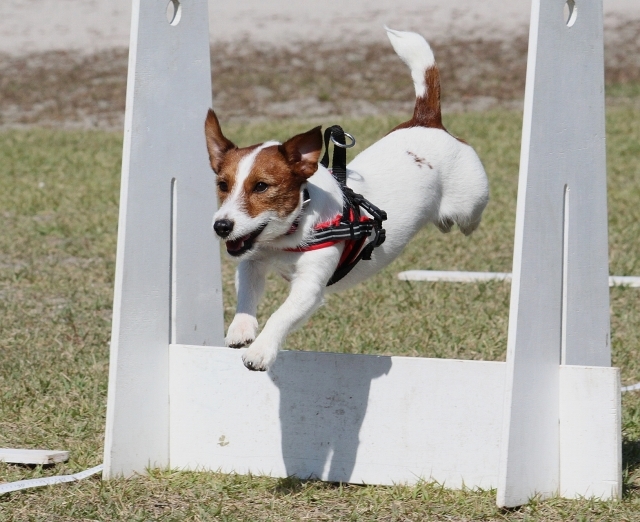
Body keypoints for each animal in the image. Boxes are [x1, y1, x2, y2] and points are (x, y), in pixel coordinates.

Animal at [205, 28, 490, 370]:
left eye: (261, 186)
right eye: (223, 185)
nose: (221, 226)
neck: (291, 231)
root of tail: (427, 120)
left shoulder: (309, 287)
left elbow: (281, 315)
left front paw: (261, 350)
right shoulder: (252, 260)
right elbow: (246, 292)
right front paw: (241, 329)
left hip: (470, 201)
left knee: (471, 216)